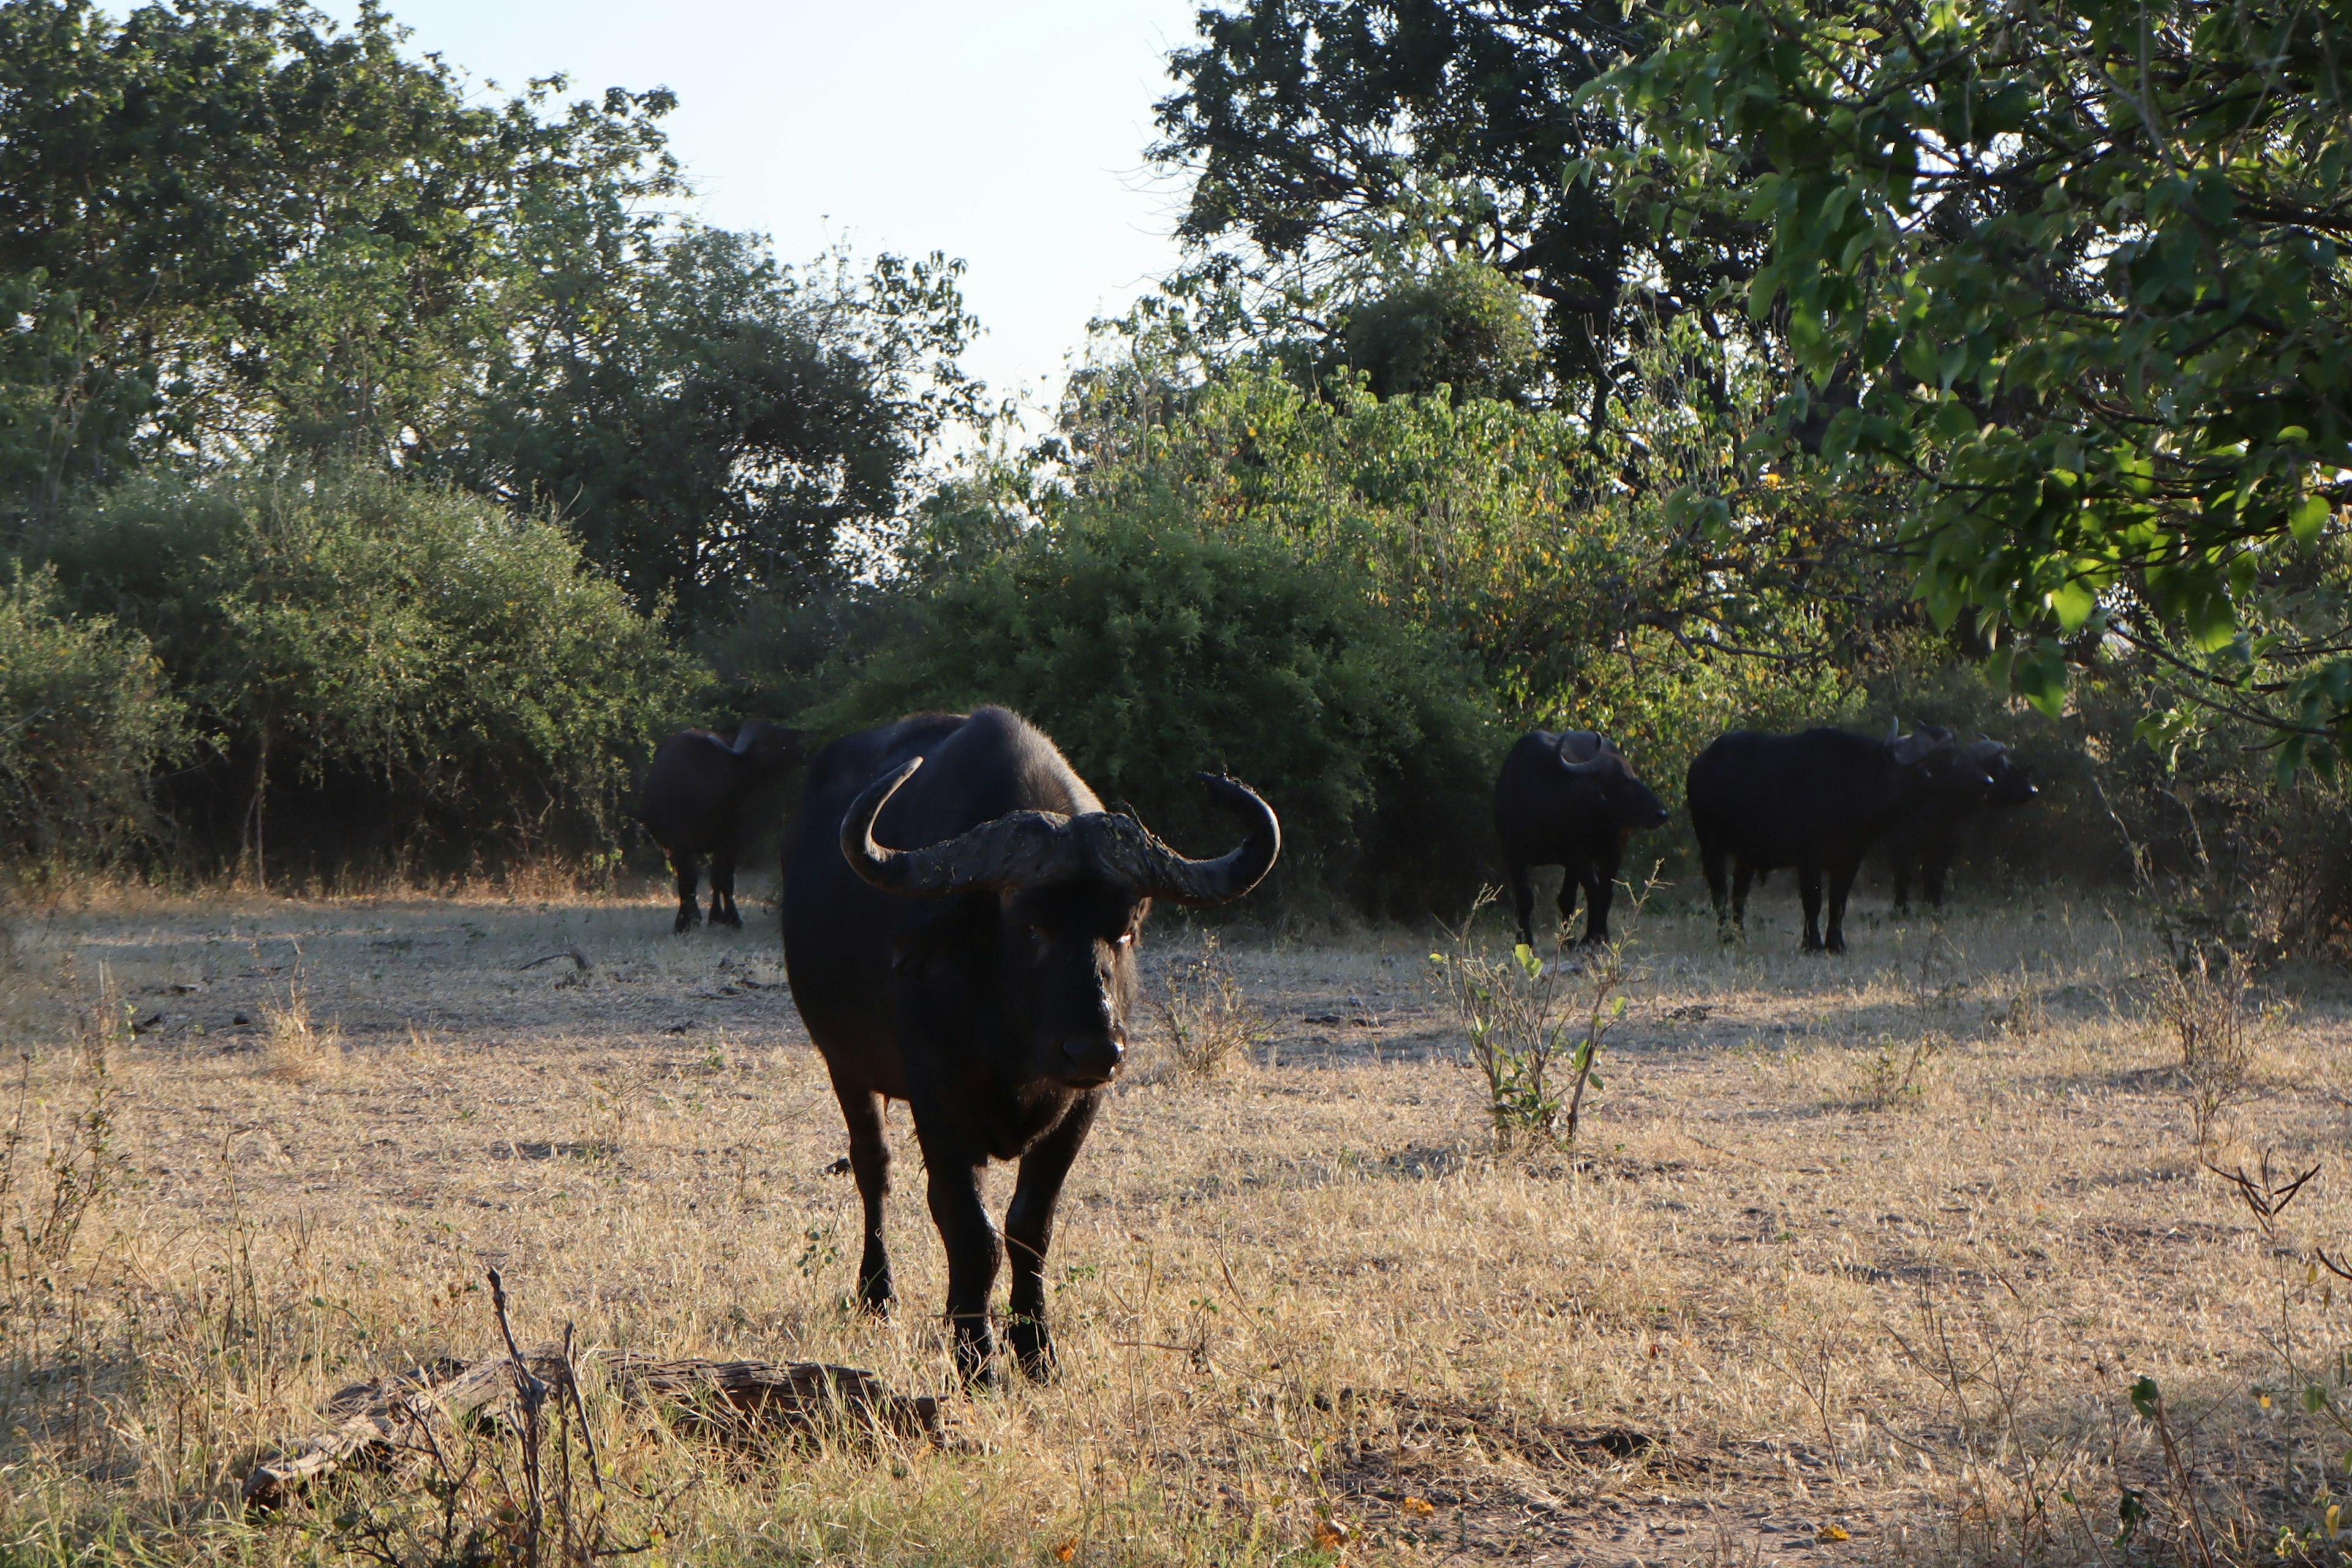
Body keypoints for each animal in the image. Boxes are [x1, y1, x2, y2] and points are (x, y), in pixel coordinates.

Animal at [635, 719, 809, 930]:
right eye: (774, 735)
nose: (806, 738)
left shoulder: (731, 842)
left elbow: (724, 879)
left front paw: (730, 918)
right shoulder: (679, 847)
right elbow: (688, 883)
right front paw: (685, 921)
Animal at [780, 705, 1279, 1382]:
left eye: (1125, 926)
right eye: (1030, 923)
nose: (1094, 1049)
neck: (1015, 1043)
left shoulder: (1081, 1107)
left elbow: (1029, 1226)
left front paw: (1036, 1348)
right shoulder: (939, 1102)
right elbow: (972, 1231)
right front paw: (978, 1358)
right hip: (846, 1067)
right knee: (873, 1169)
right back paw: (877, 1295)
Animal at [1486, 733, 1675, 944]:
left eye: (1633, 775)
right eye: (1621, 780)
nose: (1661, 813)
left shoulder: (1574, 856)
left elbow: (1567, 899)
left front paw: (1566, 940)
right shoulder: (1512, 852)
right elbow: (1525, 899)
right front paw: (1525, 940)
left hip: (1613, 852)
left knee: (1605, 891)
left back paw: (1601, 937)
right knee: (1594, 889)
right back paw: (1590, 936)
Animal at [1684, 724, 1994, 959]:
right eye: (1948, 759)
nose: (1987, 782)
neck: (1853, 782)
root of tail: (1699, 765)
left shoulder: (1850, 859)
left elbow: (1839, 903)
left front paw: (1837, 944)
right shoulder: (1809, 860)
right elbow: (1814, 902)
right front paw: (1812, 945)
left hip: (1747, 856)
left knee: (1739, 895)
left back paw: (1740, 937)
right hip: (1711, 845)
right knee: (1720, 893)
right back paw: (1725, 937)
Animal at [1882, 742, 2032, 912]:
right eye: (1999, 766)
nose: (2032, 790)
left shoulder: (1946, 845)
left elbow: (1936, 876)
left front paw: (1935, 907)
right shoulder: (1898, 843)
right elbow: (1904, 876)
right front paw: (1902, 909)